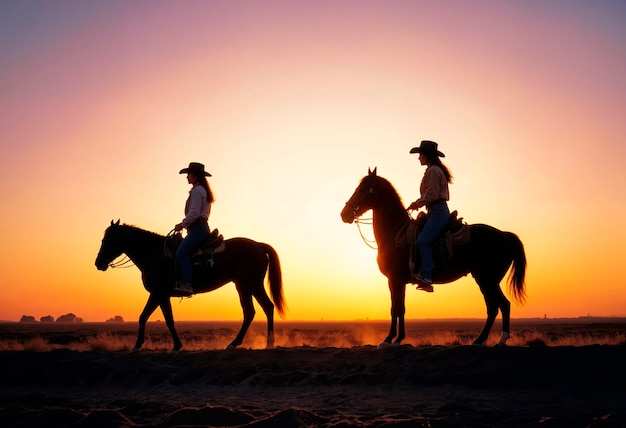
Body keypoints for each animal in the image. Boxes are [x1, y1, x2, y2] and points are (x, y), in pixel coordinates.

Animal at [95, 221, 286, 352]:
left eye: (107, 239)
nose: (98, 263)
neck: (154, 255)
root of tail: (258, 245)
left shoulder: (157, 293)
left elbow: (143, 317)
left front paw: (137, 346)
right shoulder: (163, 295)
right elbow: (168, 320)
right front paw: (176, 346)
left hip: (244, 286)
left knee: (249, 312)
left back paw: (234, 343)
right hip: (254, 285)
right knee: (268, 307)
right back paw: (269, 343)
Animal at [338, 168, 524, 348]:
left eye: (362, 189)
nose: (344, 214)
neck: (395, 233)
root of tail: (504, 235)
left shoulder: (394, 279)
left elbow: (395, 308)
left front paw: (388, 340)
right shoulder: (400, 281)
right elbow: (401, 308)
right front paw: (398, 339)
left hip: (487, 279)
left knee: (501, 305)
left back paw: (498, 340)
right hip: (485, 280)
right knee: (494, 306)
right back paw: (481, 340)